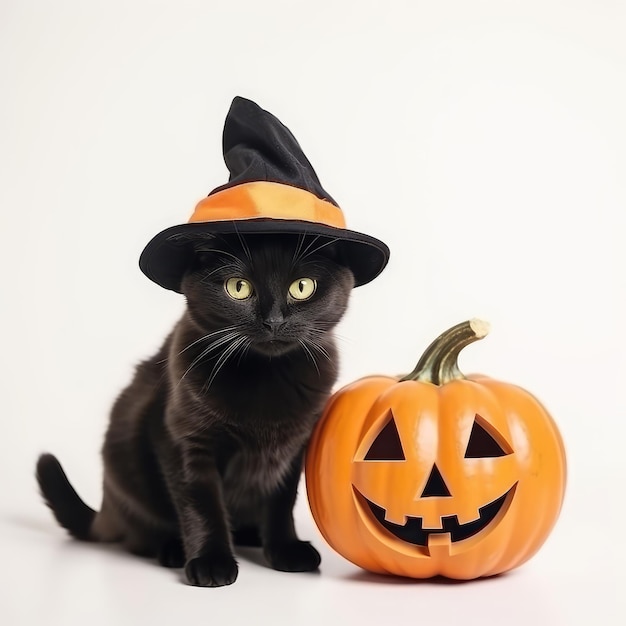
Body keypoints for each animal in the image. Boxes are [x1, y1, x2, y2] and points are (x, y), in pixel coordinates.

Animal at [36, 233, 354, 584]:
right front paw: (211, 562)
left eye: (302, 287)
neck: (266, 375)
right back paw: (173, 549)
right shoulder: (184, 438)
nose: (273, 321)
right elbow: (202, 503)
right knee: (141, 535)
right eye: (238, 287)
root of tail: (107, 509)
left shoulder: (293, 448)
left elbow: (281, 503)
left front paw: (286, 550)